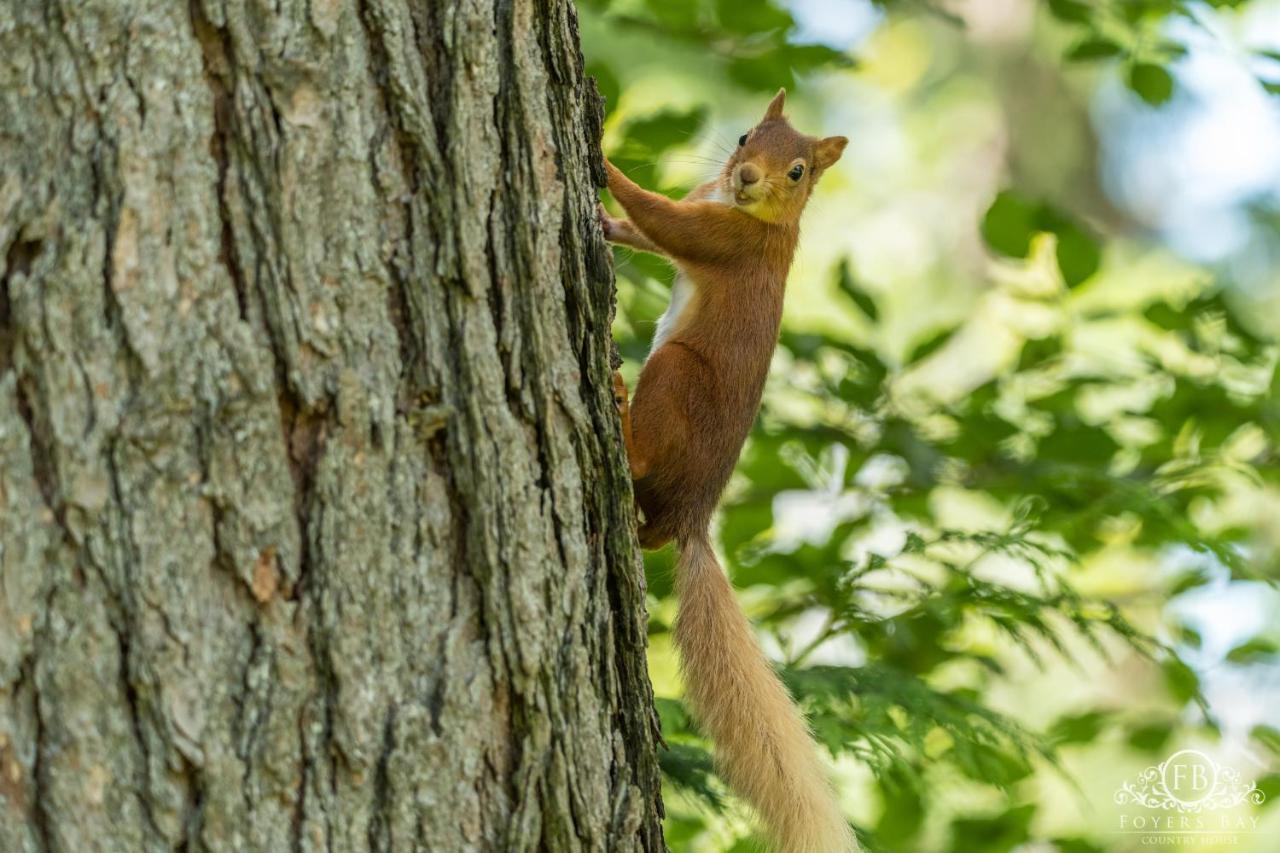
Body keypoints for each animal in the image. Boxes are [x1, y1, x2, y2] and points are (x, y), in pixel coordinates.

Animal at [601, 89, 860, 845]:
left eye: (799, 171)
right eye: (746, 135)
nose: (746, 176)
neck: (751, 212)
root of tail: (689, 517)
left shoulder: (727, 239)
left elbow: (661, 219)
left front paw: (601, 160)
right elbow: (645, 232)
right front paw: (603, 219)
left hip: (675, 375)